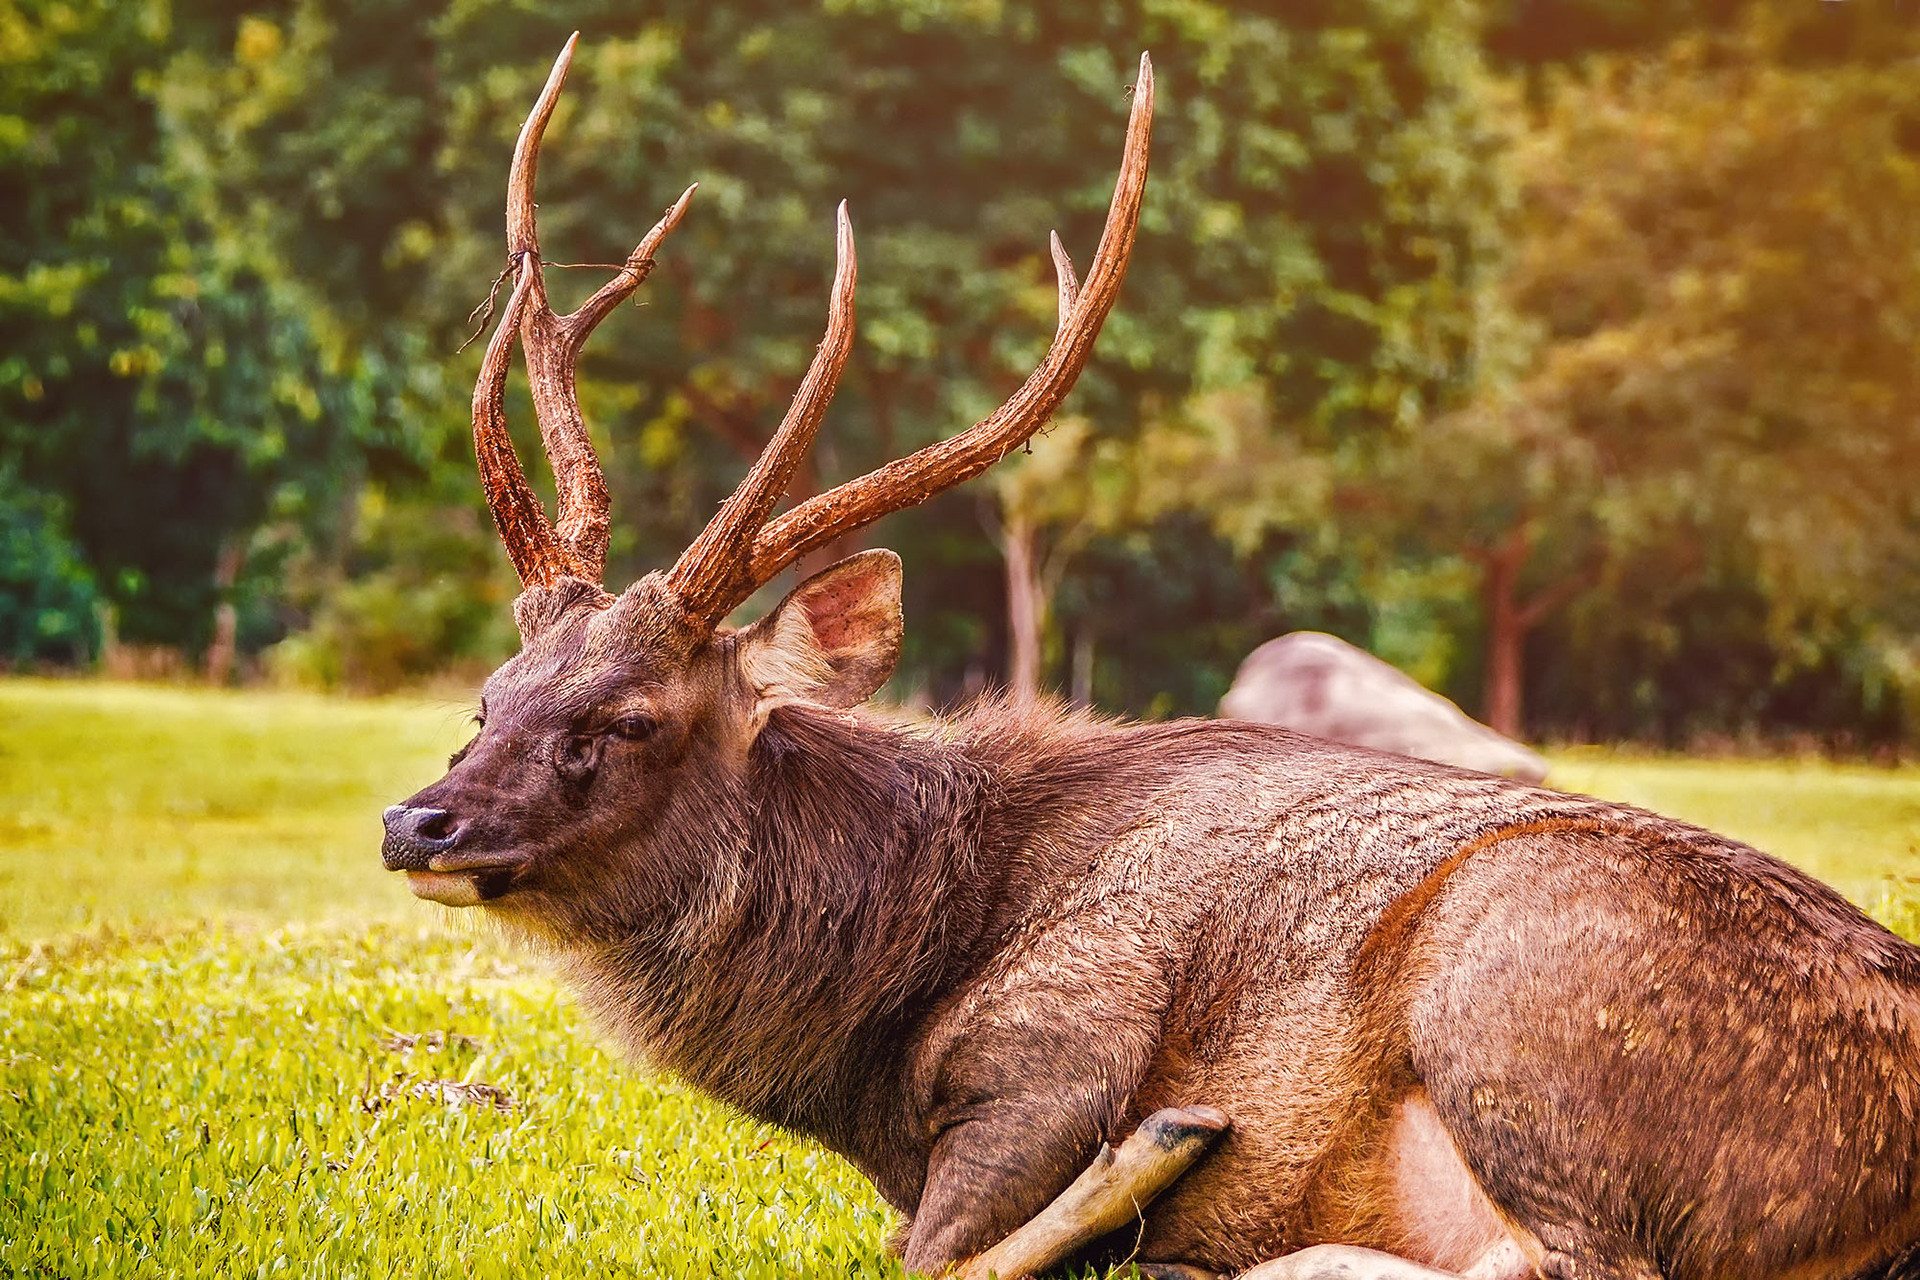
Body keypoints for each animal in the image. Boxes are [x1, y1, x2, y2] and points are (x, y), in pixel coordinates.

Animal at [381, 35, 1920, 1280]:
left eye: (628, 716)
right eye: (488, 696)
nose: (416, 819)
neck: (879, 1020)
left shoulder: (1060, 1046)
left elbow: (927, 1251)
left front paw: (1155, 1168)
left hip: (1519, 975)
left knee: (1566, 1260)